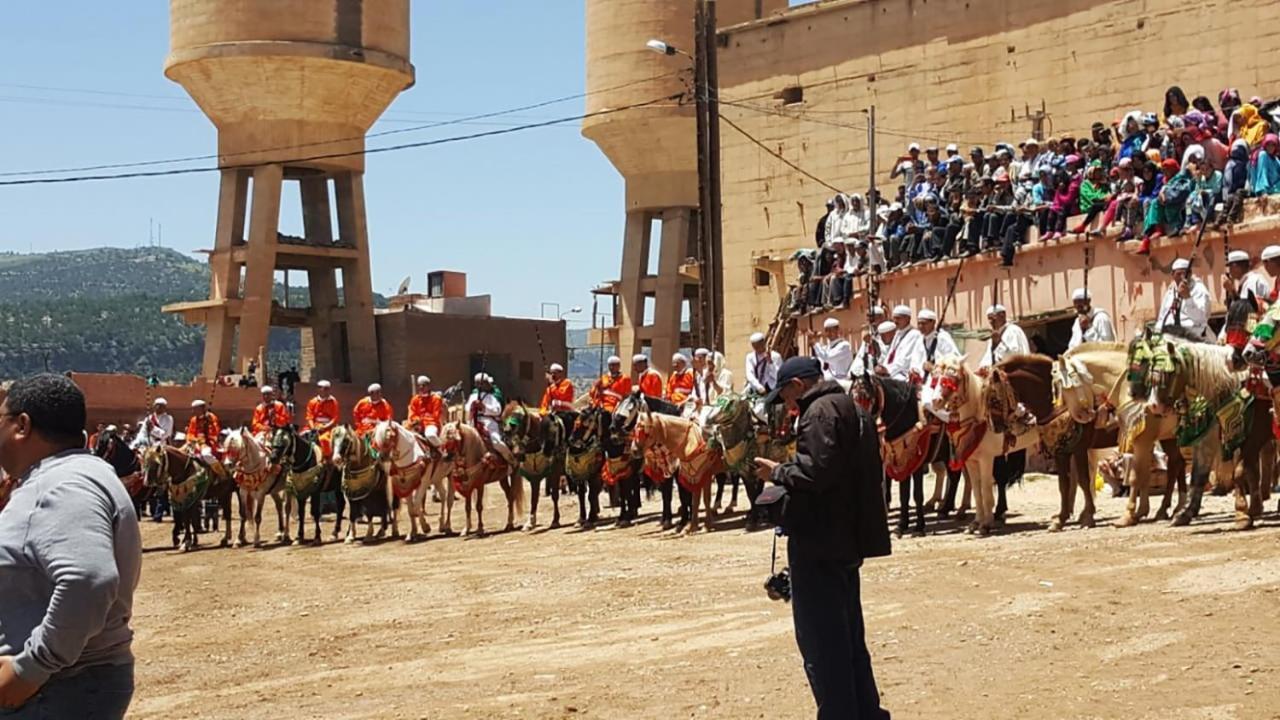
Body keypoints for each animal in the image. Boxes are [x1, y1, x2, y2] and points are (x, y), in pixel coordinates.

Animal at [501, 399, 568, 530]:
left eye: (519, 419)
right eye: (503, 418)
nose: (506, 435)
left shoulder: (555, 471)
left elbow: (554, 495)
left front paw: (555, 520)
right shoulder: (534, 477)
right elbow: (534, 499)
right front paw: (530, 522)